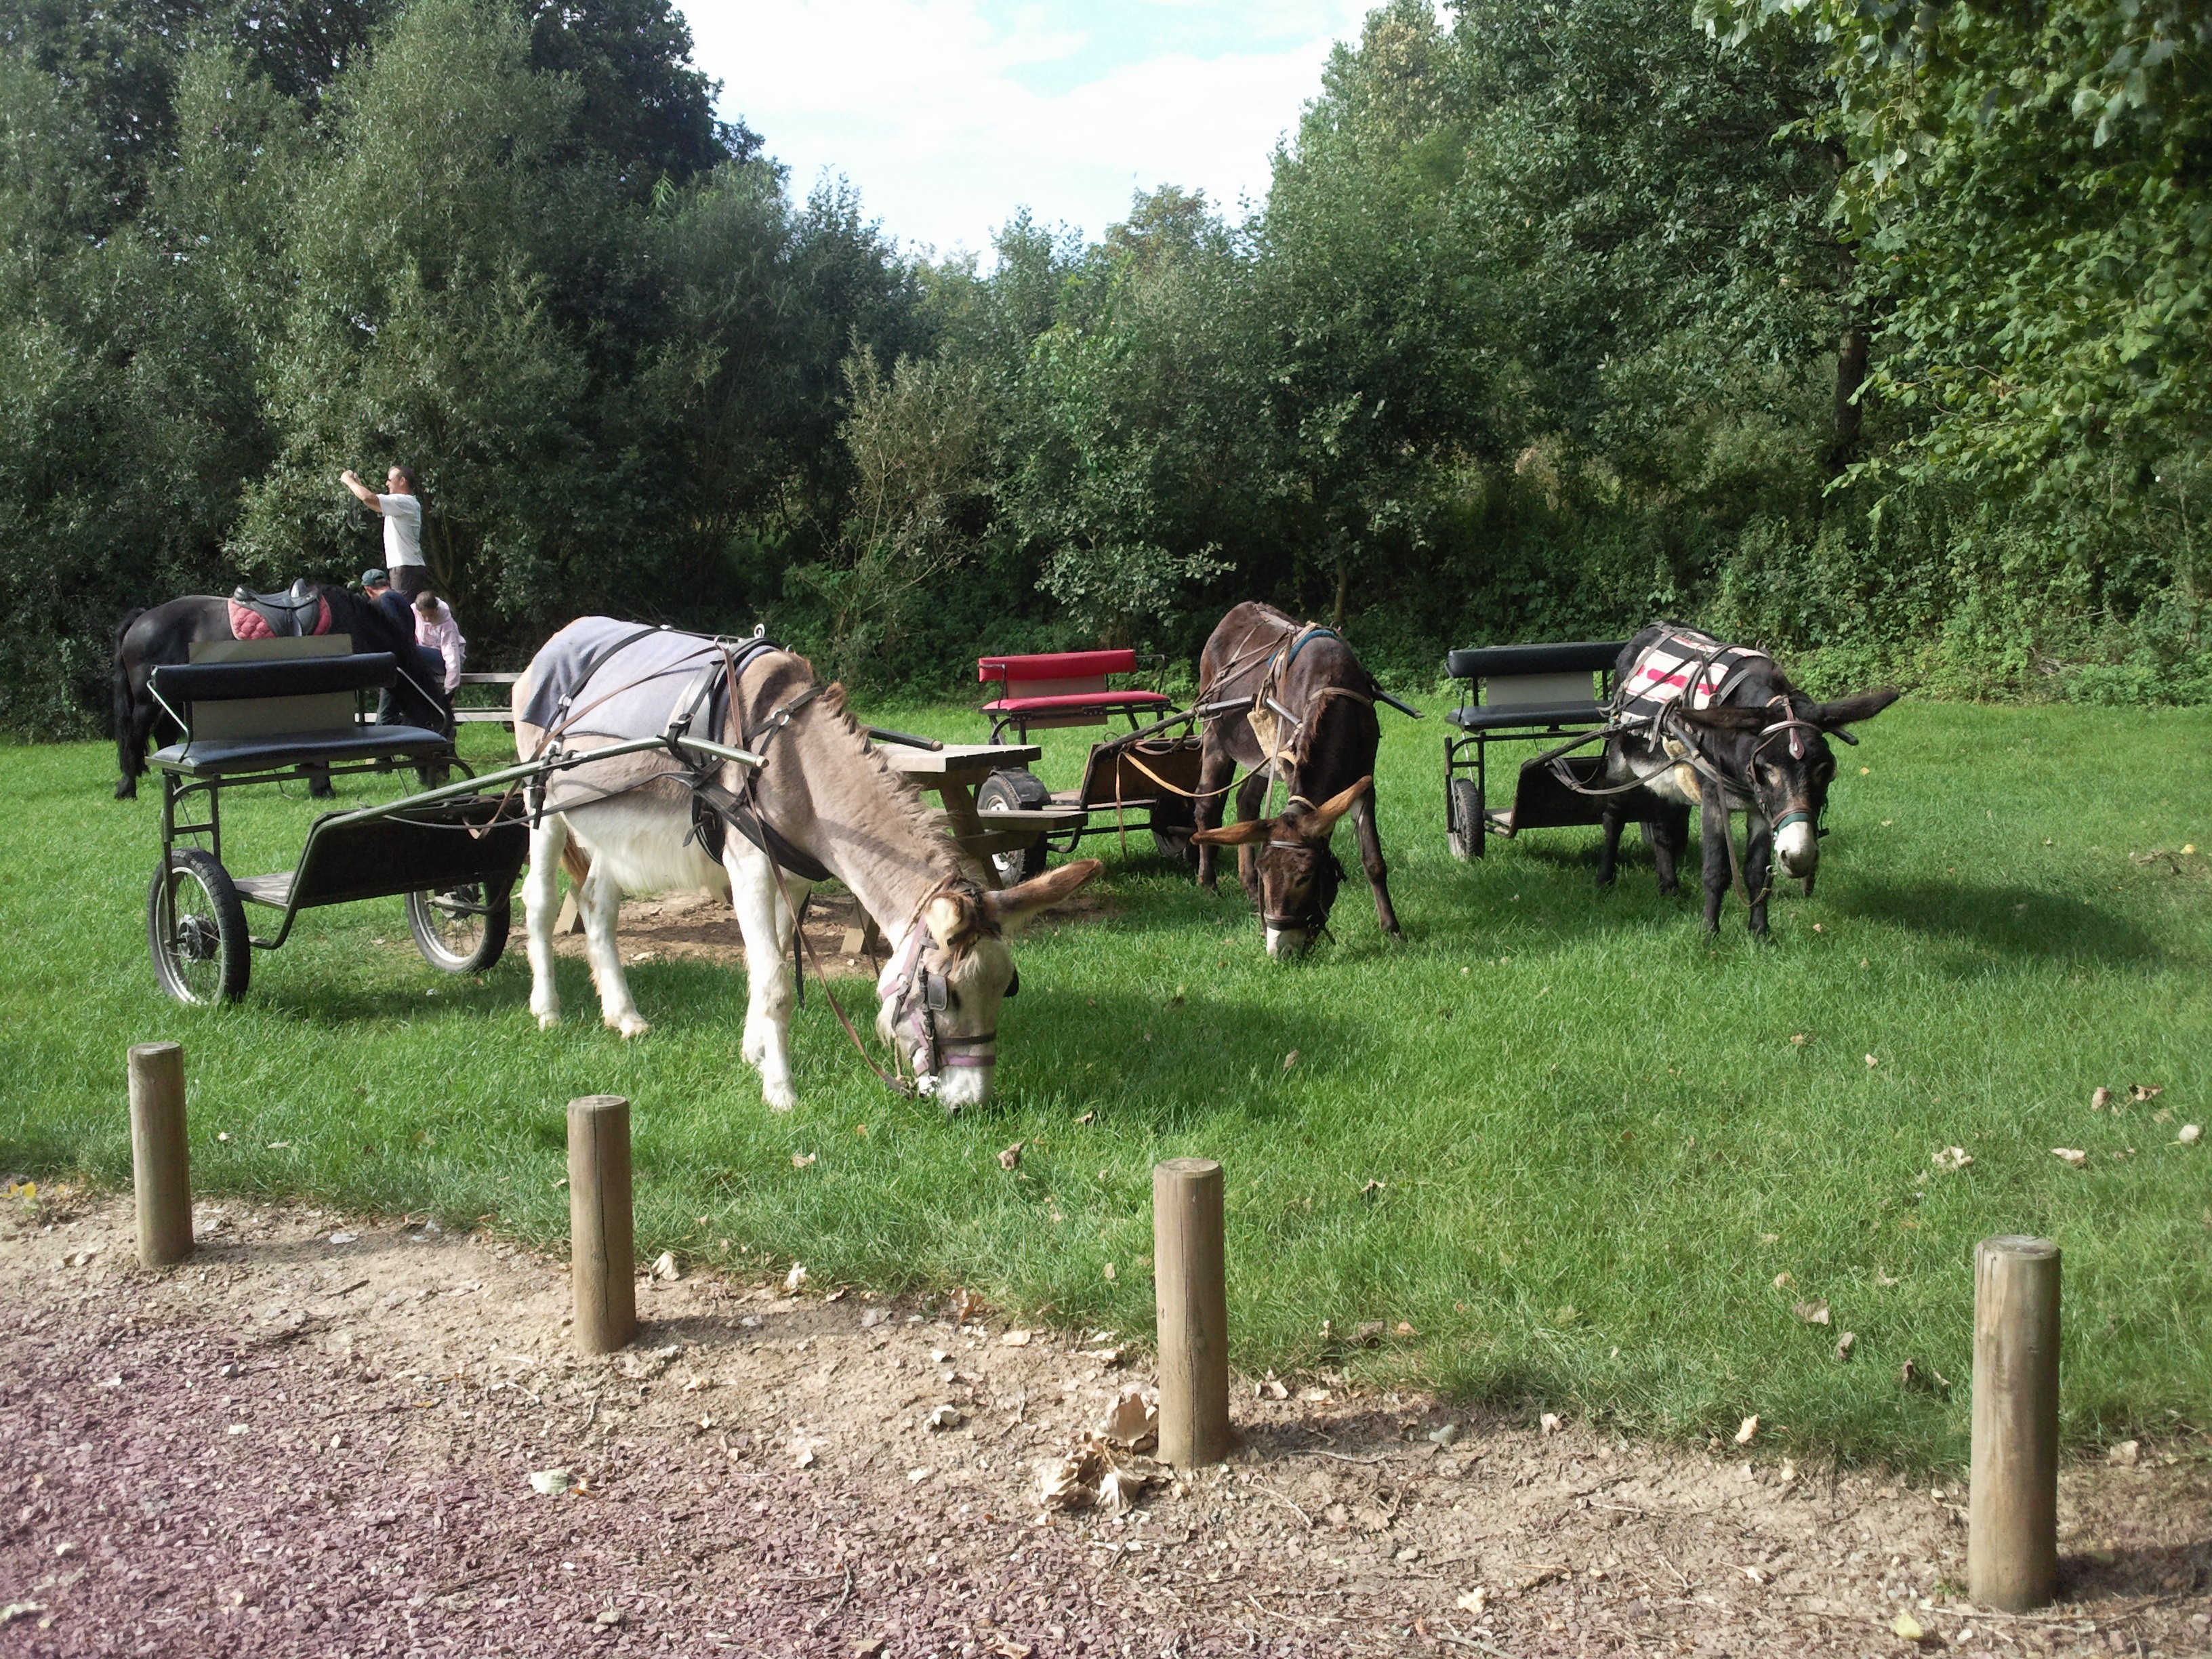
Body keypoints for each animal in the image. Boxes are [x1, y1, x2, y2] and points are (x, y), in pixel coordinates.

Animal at [110, 579, 447, 800]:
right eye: (439, 727)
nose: (443, 775)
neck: (349, 622)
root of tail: (142, 618)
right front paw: (322, 785)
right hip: (147, 700)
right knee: (135, 737)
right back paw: (127, 788)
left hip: (171, 698)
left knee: (163, 735)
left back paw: (179, 788)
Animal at [1593, 623, 1902, 937]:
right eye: (1766, 768)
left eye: (1825, 770)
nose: (1800, 857)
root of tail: (1651, 628)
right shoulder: (1714, 802)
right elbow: (1716, 870)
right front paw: (1709, 934)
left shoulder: (1762, 810)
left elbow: (1757, 873)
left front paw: (1760, 933)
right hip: (1620, 762)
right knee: (1614, 818)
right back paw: (1605, 880)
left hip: (1666, 777)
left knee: (1662, 828)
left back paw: (1669, 888)